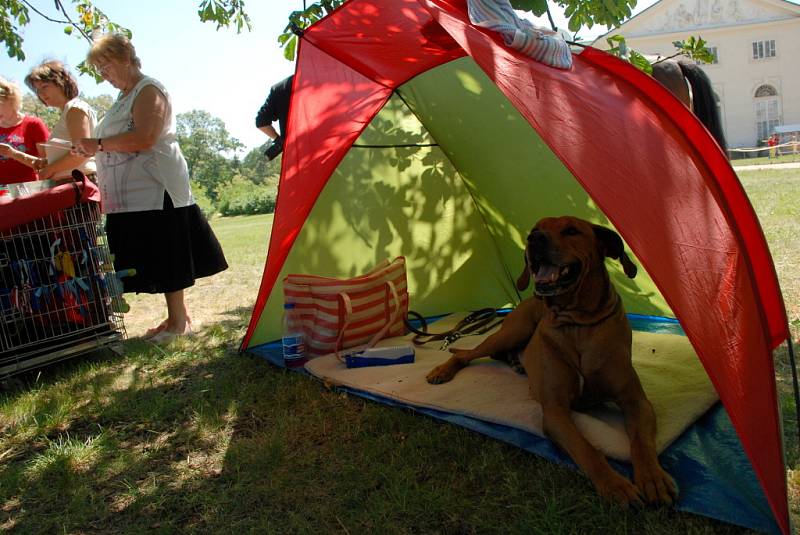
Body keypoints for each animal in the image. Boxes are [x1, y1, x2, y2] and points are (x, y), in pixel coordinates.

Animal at [424, 217, 676, 506]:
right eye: (535, 229)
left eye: (572, 230)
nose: (533, 239)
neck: (578, 322)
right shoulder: (555, 410)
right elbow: (586, 448)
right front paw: (615, 484)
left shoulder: (636, 401)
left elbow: (642, 442)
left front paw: (653, 477)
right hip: (512, 331)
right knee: (465, 354)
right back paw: (442, 370)